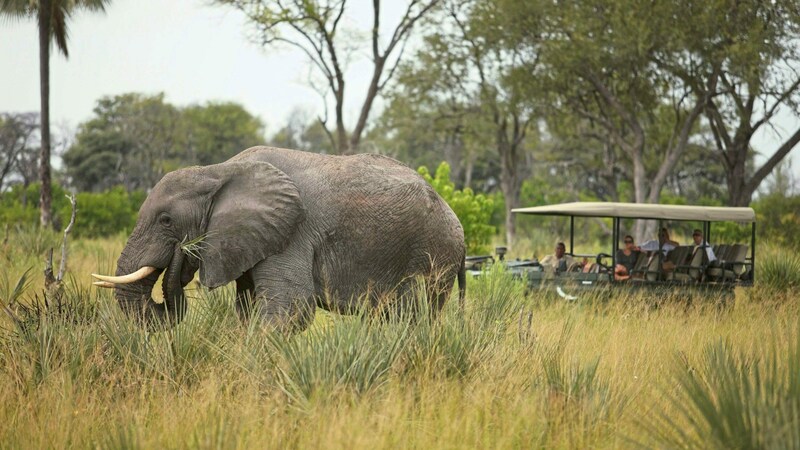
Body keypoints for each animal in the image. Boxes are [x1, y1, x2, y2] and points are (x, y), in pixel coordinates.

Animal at [92, 146, 468, 332]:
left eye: (166, 220)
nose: (181, 255)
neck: (219, 170)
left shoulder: (292, 233)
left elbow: (292, 309)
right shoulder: (250, 240)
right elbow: (247, 310)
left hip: (434, 254)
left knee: (415, 315)